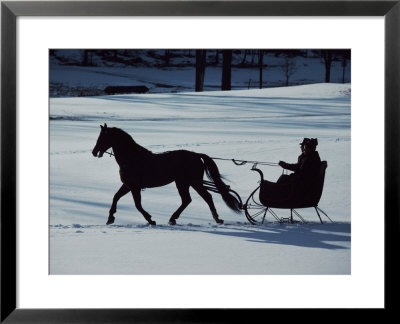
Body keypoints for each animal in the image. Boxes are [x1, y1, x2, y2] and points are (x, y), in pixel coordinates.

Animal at [91, 124, 241, 225]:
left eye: (103, 137)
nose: (94, 151)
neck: (132, 158)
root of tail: (196, 155)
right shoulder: (128, 185)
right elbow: (116, 197)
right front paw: (110, 218)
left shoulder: (134, 187)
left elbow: (137, 205)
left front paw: (150, 219)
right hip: (185, 182)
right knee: (191, 199)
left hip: (191, 182)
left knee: (202, 198)